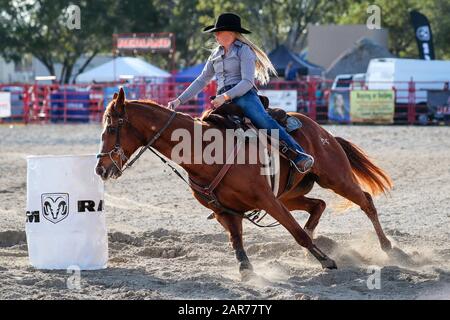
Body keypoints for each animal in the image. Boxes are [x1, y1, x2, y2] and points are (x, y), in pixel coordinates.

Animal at [96, 89, 400, 278]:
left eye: (111, 127)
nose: (100, 168)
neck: (206, 152)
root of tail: (323, 131)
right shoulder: (224, 211)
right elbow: (237, 242)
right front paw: (247, 272)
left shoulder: (266, 199)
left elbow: (295, 233)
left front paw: (326, 260)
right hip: (289, 195)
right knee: (319, 204)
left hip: (334, 177)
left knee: (365, 201)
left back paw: (389, 249)